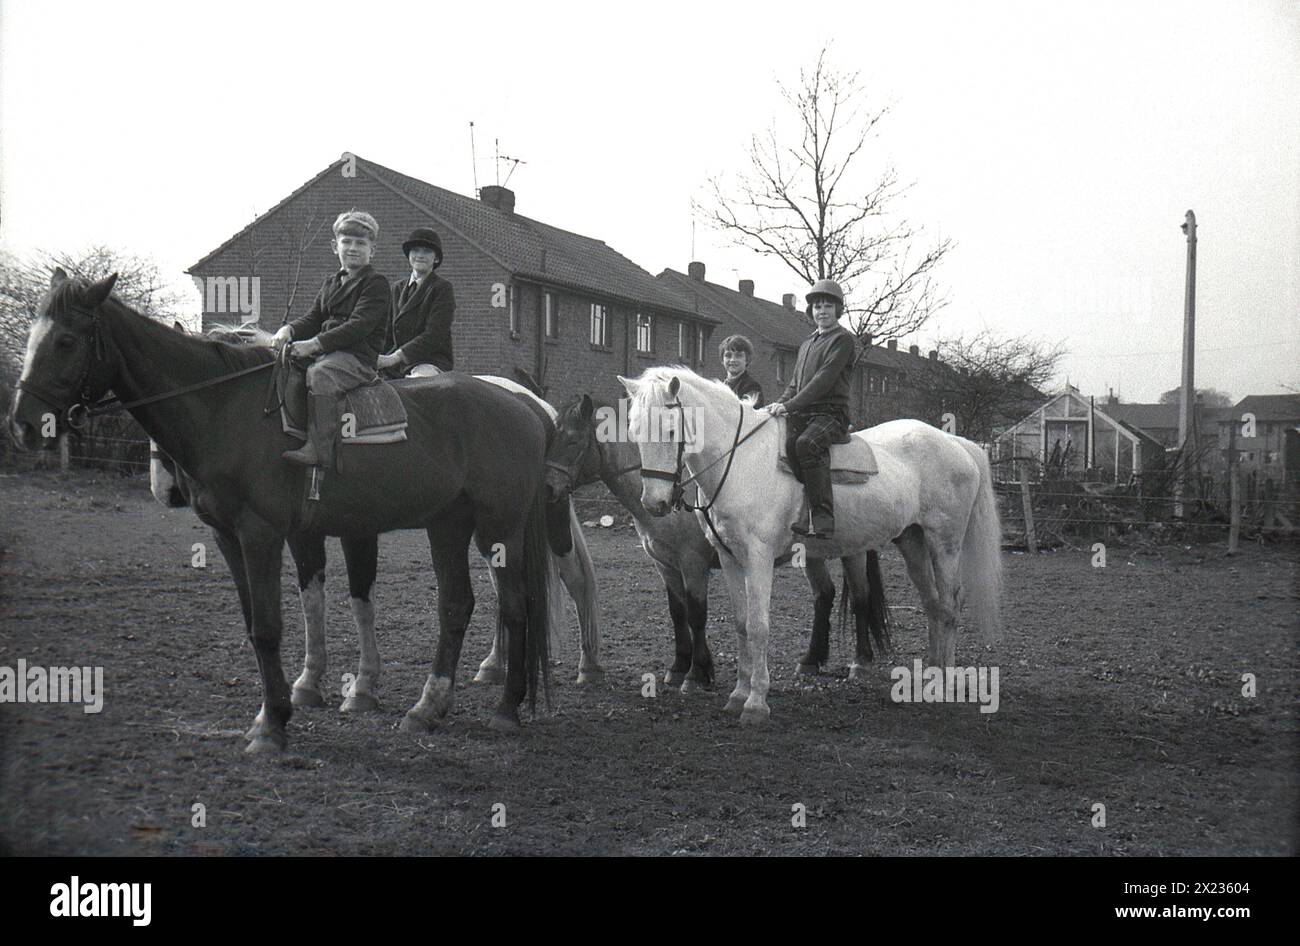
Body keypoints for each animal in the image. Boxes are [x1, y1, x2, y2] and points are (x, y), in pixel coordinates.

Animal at [12, 270, 556, 748]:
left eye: (65, 342)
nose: (23, 425)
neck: (226, 407)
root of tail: (522, 405)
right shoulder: (230, 537)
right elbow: (260, 622)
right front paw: (280, 707)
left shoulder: (263, 533)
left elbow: (271, 626)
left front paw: (273, 725)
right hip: (447, 525)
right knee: (456, 606)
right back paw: (427, 708)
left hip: (499, 529)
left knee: (514, 605)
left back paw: (507, 707)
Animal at [618, 366, 1003, 727]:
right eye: (635, 432)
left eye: (670, 431)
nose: (654, 503)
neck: (742, 461)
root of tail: (958, 443)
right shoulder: (729, 559)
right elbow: (742, 624)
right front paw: (738, 694)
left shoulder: (757, 558)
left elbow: (758, 626)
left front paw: (755, 703)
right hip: (913, 541)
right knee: (934, 605)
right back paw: (930, 677)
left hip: (945, 543)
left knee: (949, 606)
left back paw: (945, 683)